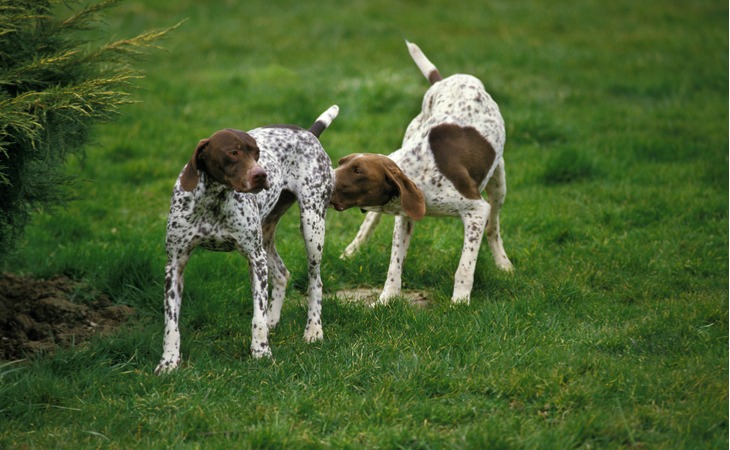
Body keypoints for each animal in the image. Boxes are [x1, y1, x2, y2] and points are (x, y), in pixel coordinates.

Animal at [156, 104, 338, 372]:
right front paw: (168, 361)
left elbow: (257, 316)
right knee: (282, 273)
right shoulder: (175, 265)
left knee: (315, 282)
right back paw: (275, 320)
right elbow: (171, 324)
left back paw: (313, 329)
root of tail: (308, 132)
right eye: (232, 153)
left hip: (312, 226)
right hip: (267, 234)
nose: (261, 175)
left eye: (257, 153)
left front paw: (261, 351)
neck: (213, 200)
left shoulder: (255, 259)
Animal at [330, 42, 512, 304]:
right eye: (340, 162)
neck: (419, 174)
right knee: (370, 220)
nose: (325, 176)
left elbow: (464, 267)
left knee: (493, 228)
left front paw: (459, 301)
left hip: (498, 184)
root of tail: (446, 79)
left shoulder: (477, 210)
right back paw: (353, 250)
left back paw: (503, 263)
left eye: (358, 171)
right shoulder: (404, 216)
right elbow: (394, 264)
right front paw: (386, 299)